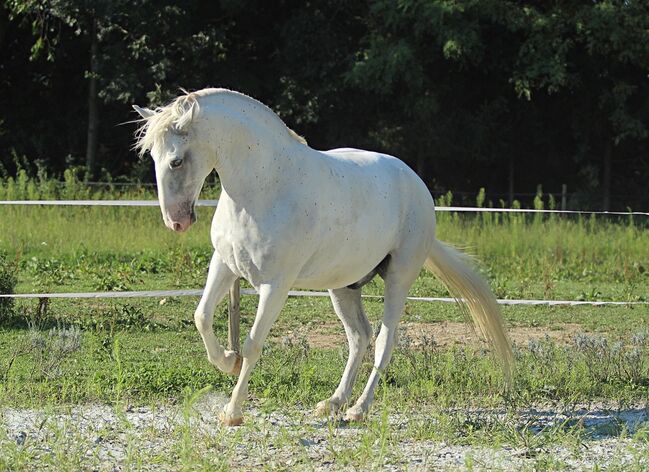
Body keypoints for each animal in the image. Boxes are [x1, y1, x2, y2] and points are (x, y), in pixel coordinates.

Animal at [133, 86, 512, 426]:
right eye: (151, 156)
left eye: (176, 160)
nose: (176, 221)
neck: (263, 188)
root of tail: (417, 186)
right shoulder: (225, 265)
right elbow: (201, 317)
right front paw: (228, 361)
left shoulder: (276, 285)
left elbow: (254, 343)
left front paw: (232, 412)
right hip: (343, 286)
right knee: (359, 337)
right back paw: (332, 403)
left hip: (399, 279)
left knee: (384, 341)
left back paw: (358, 409)